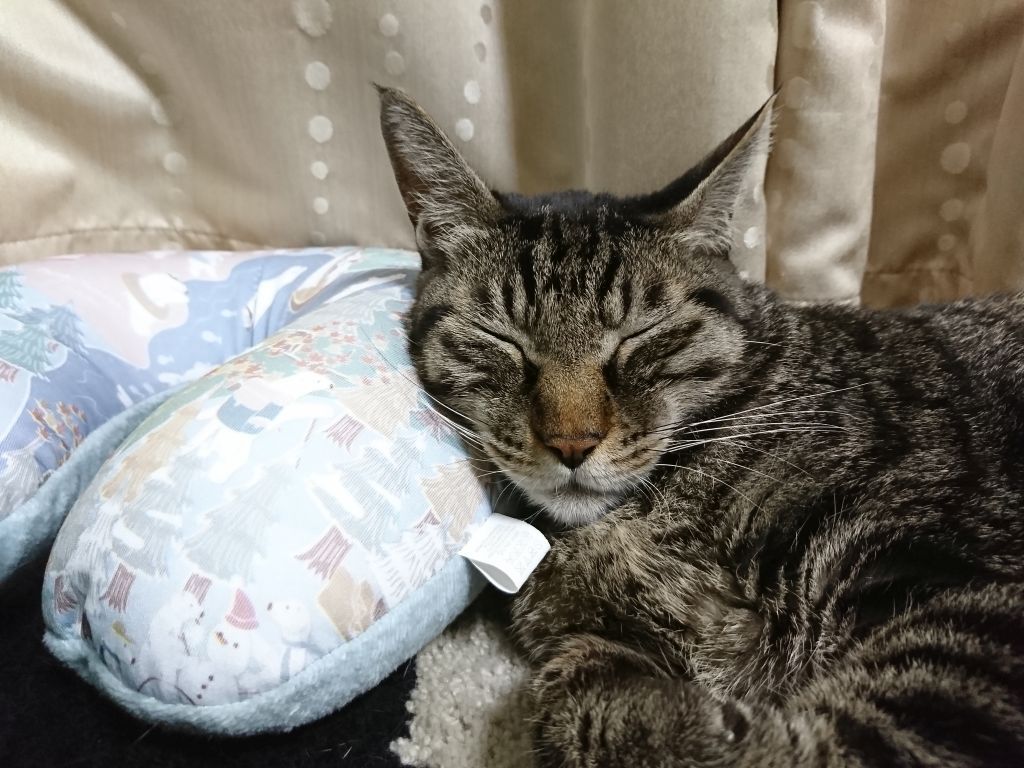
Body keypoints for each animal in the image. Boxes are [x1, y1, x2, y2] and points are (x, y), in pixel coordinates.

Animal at [377, 85, 1024, 767]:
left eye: (640, 335)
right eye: (501, 338)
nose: (572, 443)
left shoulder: (958, 589)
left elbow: (856, 737)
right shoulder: (594, 634)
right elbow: (574, 705)